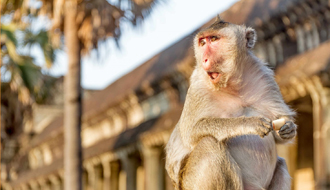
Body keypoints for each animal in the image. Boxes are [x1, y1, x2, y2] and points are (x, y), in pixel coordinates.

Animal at [165, 16, 296, 190]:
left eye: (214, 39)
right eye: (202, 42)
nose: (204, 59)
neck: (233, 85)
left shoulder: (265, 78)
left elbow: (278, 131)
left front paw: (288, 128)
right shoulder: (197, 88)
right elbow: (191, 133)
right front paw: (248, 123)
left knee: (281, 164)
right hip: (189, 182)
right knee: (209, 145)